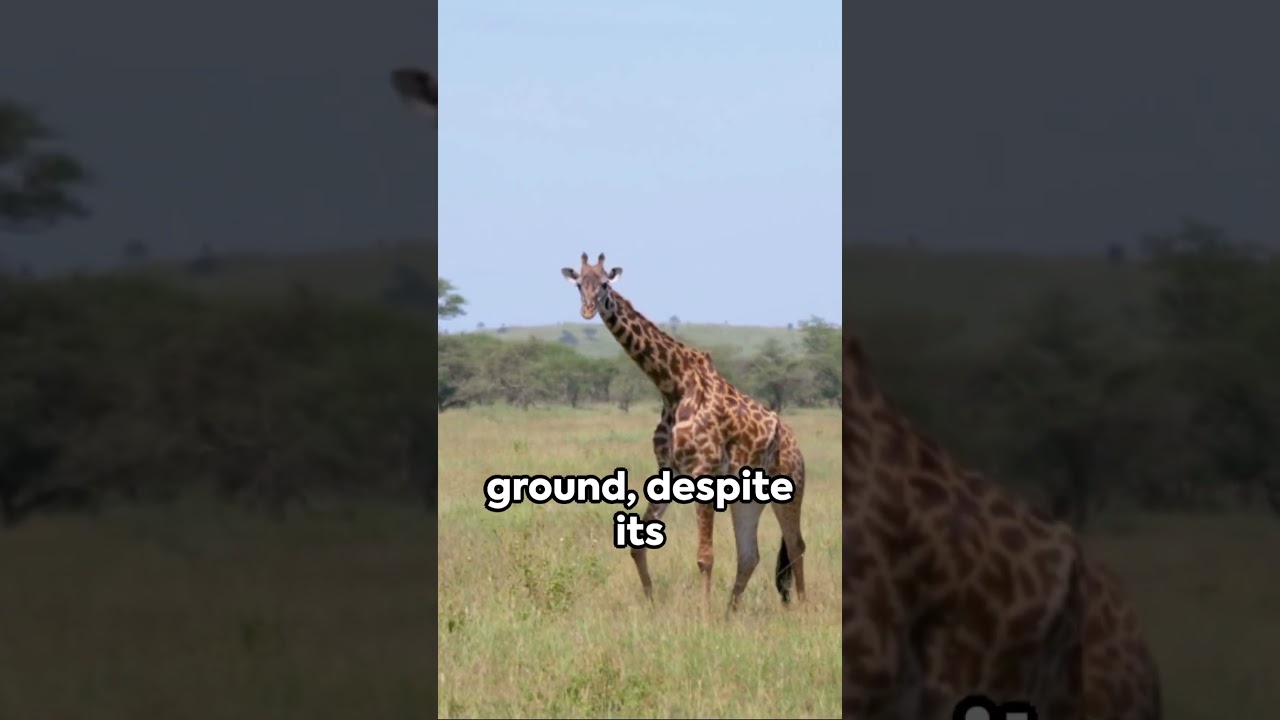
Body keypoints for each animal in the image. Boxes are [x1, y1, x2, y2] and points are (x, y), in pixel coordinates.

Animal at [561, 252, 807, 613]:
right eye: (580, 284)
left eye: (605, 283)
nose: (589, 310)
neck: (671, 385)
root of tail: (796, 445)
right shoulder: (670, 469)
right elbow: (637, 544)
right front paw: (651, 605)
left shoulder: (703, 470)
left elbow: (705, 556)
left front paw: (703, 616)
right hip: (748, 499)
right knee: (750, 555)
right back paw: (730, 614)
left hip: (790, 485)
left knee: (796, 544)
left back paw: (802, 608)